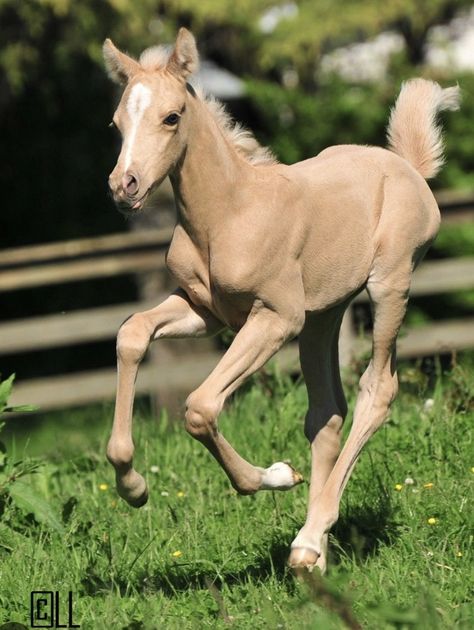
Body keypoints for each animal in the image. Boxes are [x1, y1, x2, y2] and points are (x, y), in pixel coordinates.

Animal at [103, 29, 460, 576]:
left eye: (171, 117)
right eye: (118, 122)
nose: (125, 187)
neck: (229, 214)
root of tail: (408, 166)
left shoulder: (275, 319)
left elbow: (200, 407)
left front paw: (276, 474)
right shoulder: (205, 312)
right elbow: (132, 334)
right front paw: (134, 488)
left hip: (387, 287)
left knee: (377, 390)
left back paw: (308, 541)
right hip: (322, 316)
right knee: (327, 413)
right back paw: (315, 555)